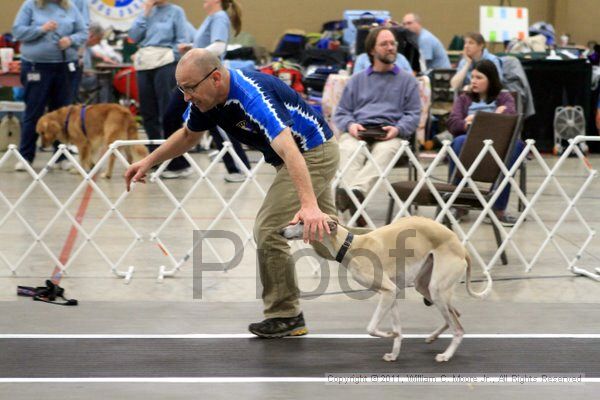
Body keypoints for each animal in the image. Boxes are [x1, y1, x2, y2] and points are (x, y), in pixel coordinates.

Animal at [282, 216, 492, 362]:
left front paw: (390, 335)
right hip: (425, 286)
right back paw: (433, 337)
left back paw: (446, 355)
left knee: (459, 328)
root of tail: (462, 248)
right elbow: (397, 327)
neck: (349, 245)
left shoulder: (388, 291)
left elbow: (371, 328)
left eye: (302, 222)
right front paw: (394, 351)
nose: (281, 230)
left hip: (437, 289)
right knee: (455, 314)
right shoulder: (392, 293)